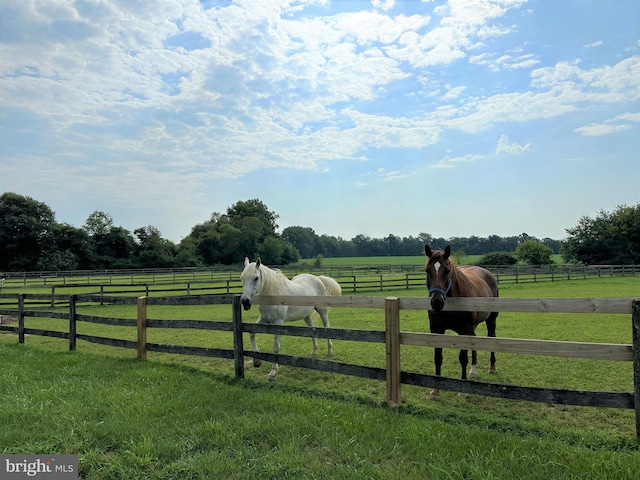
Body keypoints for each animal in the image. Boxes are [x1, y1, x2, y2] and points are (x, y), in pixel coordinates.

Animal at [424, 246, 500, 400]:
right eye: (427, 270)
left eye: (447, 271)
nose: (437, 302)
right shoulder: (437, 331)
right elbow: (438, 358)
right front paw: (435, 391)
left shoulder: (464, 331)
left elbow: (463, 358)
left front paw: (463, 391)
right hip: (472, 327)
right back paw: (473, 371)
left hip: (491, 320)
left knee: (491, 337)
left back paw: (492, 368)